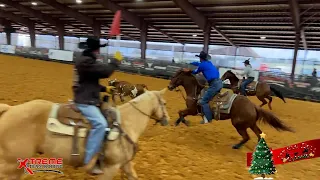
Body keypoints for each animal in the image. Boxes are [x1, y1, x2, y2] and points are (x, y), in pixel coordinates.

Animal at [0, 88, 170, 180]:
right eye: (165, 103)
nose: (167, 120)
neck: (126, 124)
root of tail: (9, 109)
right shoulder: (110, 168)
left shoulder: (125, 164)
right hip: (11, 165)